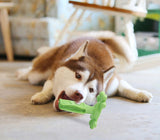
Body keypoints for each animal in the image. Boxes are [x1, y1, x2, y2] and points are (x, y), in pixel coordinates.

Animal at [16, 36, 153, 111]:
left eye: (91, 90)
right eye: (78, 75)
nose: (79, 94)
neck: (96, 62)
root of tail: (98, 39)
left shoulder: (113, 82)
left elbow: (126, 87)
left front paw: (140, 93)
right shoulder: (53, 75)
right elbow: (48, 86)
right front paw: (42, 95)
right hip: (39, 72)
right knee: (33, 70)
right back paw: (23, 72)